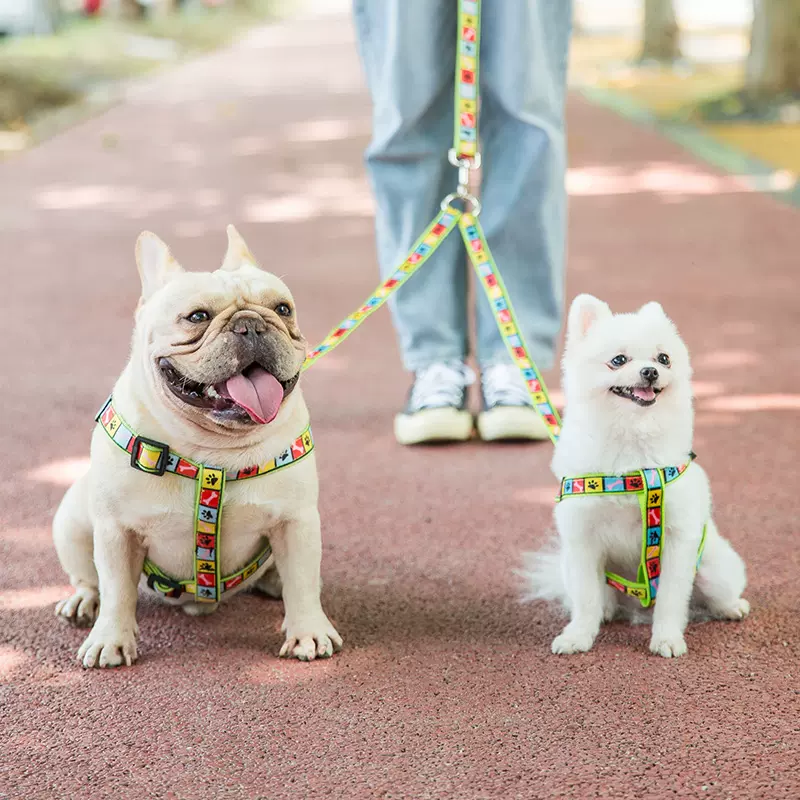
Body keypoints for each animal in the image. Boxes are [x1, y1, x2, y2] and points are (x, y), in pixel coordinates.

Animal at [52, 227, 340, 668]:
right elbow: (117, 589)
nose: (251, 325)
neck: (213, 454)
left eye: (283, 309)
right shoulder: (117, 531)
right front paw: (110, 640)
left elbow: (303, 582)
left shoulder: (297, 523)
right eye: (198, 317)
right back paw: (84, 601)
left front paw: (308, 631)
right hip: (71, 522)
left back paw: (276, 581)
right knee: (90, 578)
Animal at [524, 294, 752, 656]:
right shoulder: (582, 539)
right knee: (600, 599)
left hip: (715, 569)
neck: (632, 461)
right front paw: (577, 636)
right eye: (618, 360)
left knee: (715, 594)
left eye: (664, 358)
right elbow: (585, 600)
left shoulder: (678, 538)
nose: (650, 371)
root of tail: (637, 605)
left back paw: (732, 608)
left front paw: (667, 639)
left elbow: (672, 599)